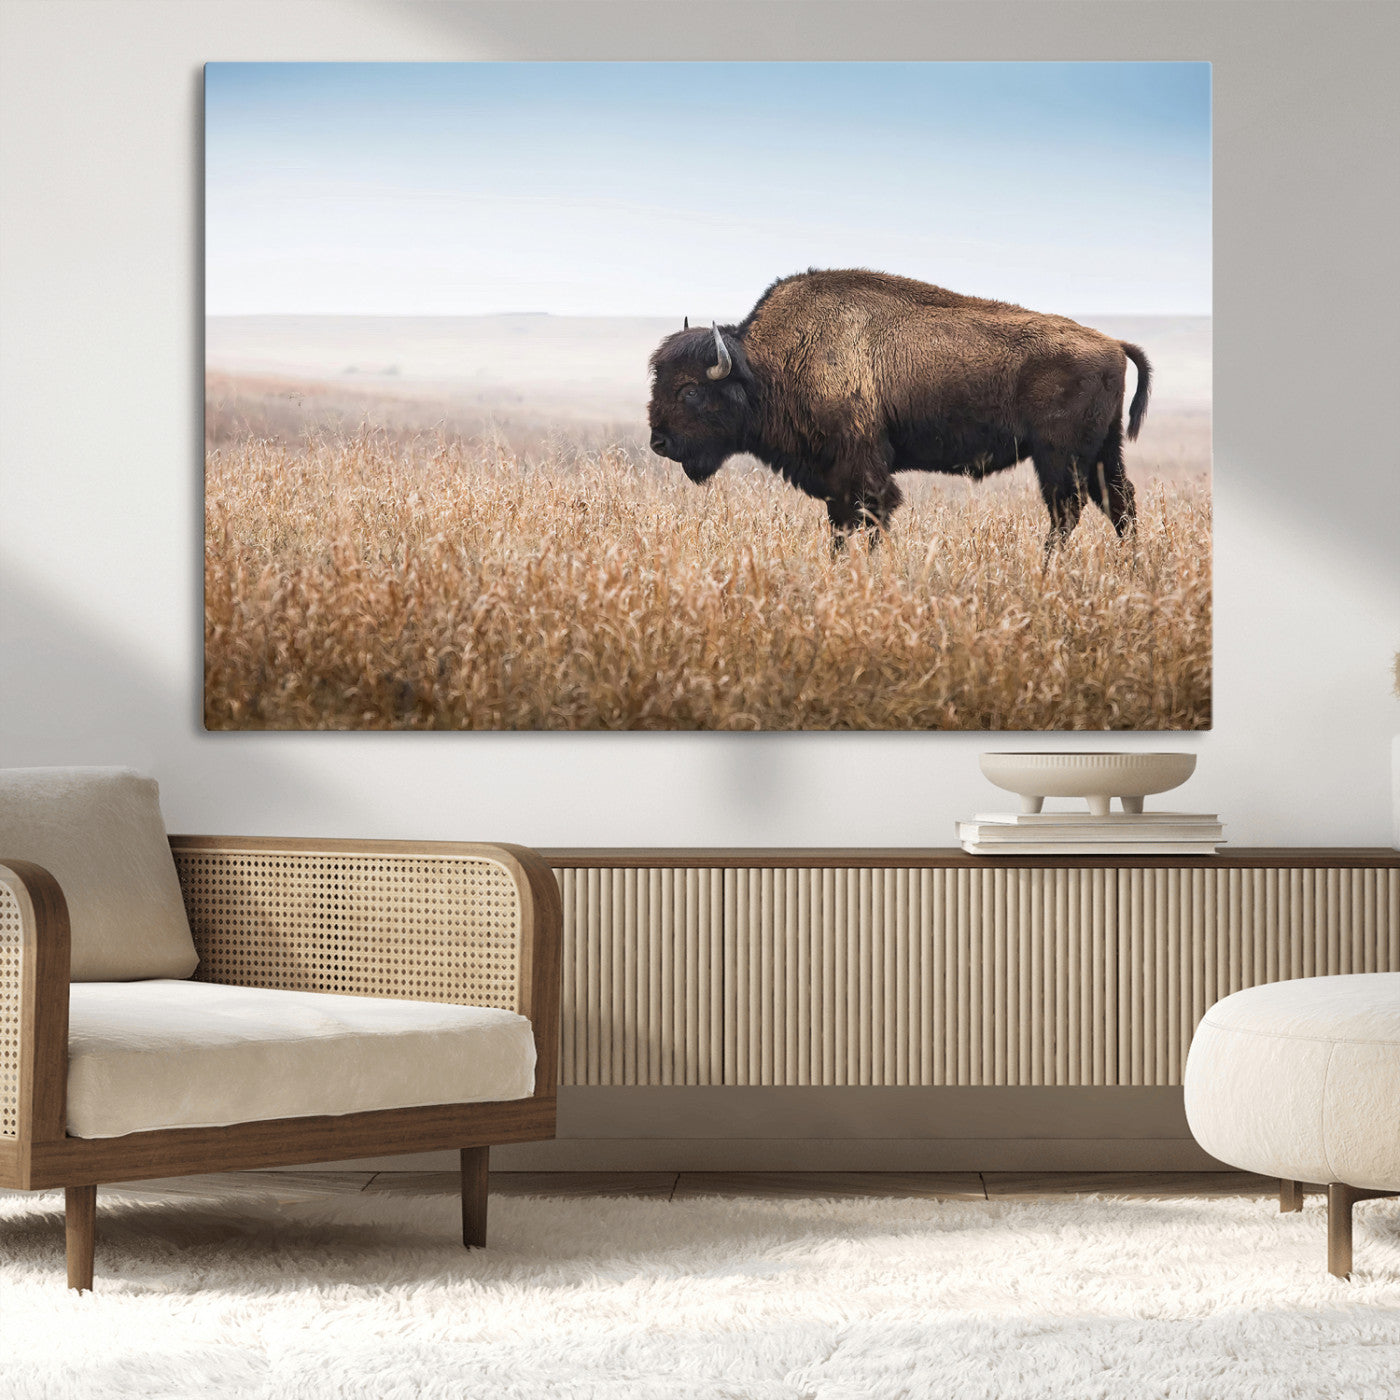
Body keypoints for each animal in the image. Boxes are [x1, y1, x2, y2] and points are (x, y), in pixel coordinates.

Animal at [647, 269, 1151, 552]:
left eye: (690, 390)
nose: (658, 442)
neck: (766, 365)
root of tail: (1112, 343)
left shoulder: (862, 470)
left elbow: (871, 517)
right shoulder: (835, 479)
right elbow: (841, 526)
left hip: (1059, 456)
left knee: (1068, 510)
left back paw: (1048, 569)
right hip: (1103, 452)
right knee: (1119, 504)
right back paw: (1130, 568)